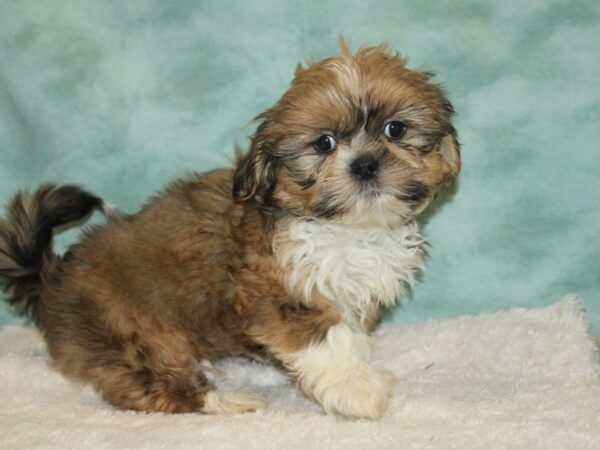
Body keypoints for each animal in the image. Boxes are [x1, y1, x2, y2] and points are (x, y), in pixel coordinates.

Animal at [0, 44, 460, 420]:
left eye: (395, 129)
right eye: (324, 144)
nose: (364, 164)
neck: (345, 228)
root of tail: (52, 278)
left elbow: (353, 333)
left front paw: (364, 367)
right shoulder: (277, 294)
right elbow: (327, 340)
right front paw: (357, 388)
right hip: (126, 333)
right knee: (145, 386)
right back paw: (223, 400)